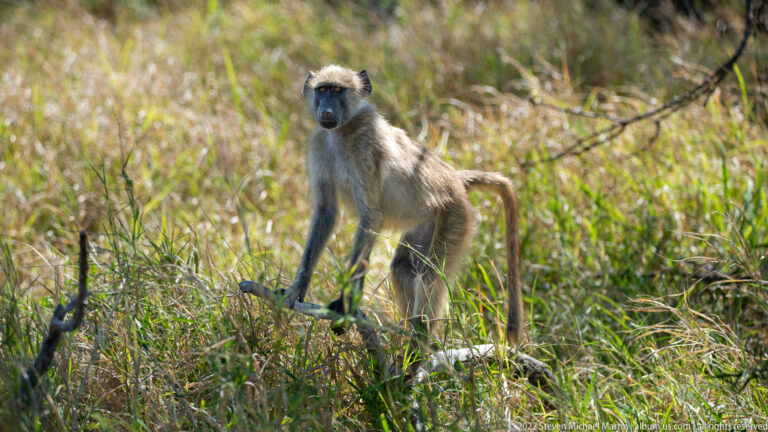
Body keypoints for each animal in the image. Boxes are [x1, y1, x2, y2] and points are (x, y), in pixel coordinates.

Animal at [280, 64, 525, 343]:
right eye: (322, 90)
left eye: (337, 90)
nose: (327, 112)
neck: (341, 132)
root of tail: (455, 179)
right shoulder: (319, 144)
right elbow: (326, 212)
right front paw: (298, 288)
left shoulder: (365, 149)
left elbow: (371, 217)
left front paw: (346, 305)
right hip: (427, 222)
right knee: (405, 267)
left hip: (456, 215)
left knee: (430, 273)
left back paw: (421, 340)